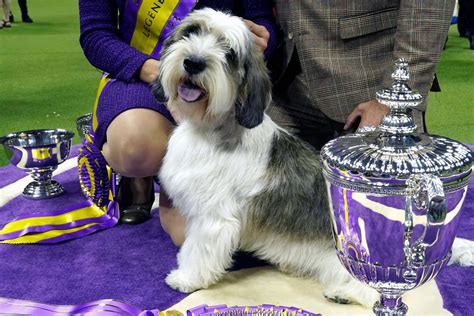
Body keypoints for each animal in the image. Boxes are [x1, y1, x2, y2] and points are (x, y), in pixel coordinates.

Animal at [154, 8, 380, 308]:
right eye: (191, 32)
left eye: (229, 52)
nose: (193, 63)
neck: (211, 130)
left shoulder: (213, 218)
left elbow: (198, 251)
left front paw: (186, 278)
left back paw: (343, 292)